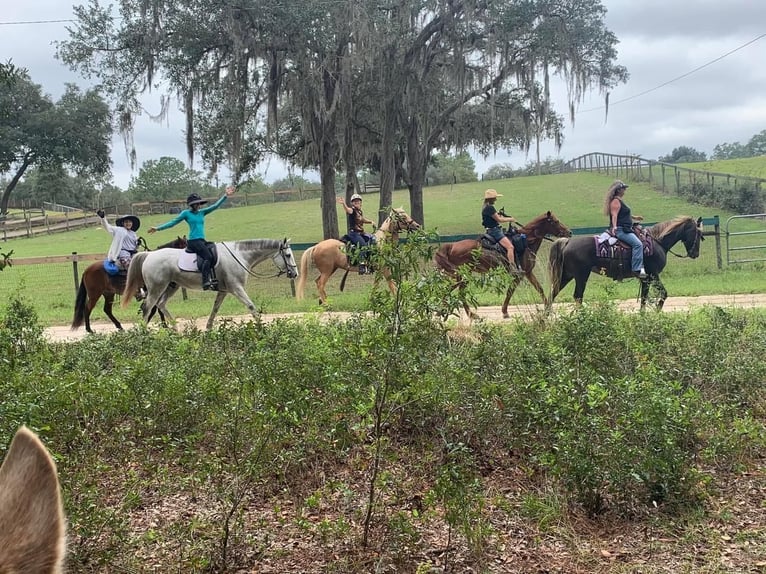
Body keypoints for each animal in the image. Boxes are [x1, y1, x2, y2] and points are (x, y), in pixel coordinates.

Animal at [121, 236, 298, 330]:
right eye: (288, 255)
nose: (295, 274)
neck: (239, 255)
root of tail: (149, 255)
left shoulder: (223, 291)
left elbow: (215, 309)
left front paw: (208, 328)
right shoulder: (236, 288)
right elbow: (251, 306)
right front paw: (261, 327)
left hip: (172, 286)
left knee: (161, 304)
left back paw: (175, 329)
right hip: (156, 288)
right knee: (147, 307)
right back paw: (144, 333)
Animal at [296, 208, 424, 306]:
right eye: (402, 217)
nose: (417, 225)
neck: (381, 242)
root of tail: (316, 246)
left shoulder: (379, 270)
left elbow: (376, 285)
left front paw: (371, 299)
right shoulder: (384, 269)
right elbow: (391, 285)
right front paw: (399, 301)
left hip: (330, 269)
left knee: (318, 282)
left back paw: (323, 301)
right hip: (327, 271)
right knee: (320, 284)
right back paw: (326, 304)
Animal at [436, 212, 572, 320]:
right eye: (555, 221)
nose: (569, 232)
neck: (527, 241)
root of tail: (451, 246)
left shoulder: (528, 272)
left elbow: (539, 289)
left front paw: (548, 308)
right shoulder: (519, 275)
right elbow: (510, 291)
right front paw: (505, 312)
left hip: (462, 275)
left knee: (453, 290)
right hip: (463, 275)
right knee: (457, 291)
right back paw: (467, 314)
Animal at [548, 216, 704, 310]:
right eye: (698, 234)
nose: (695, 254)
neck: (657, 241)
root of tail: (567, 242)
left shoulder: (645, 279)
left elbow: (644, 299)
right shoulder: (652, 275)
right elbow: (663, 294)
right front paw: (657, 312)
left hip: (566, 275)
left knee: (552, 294)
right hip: (581, 276)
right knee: (578, 296)